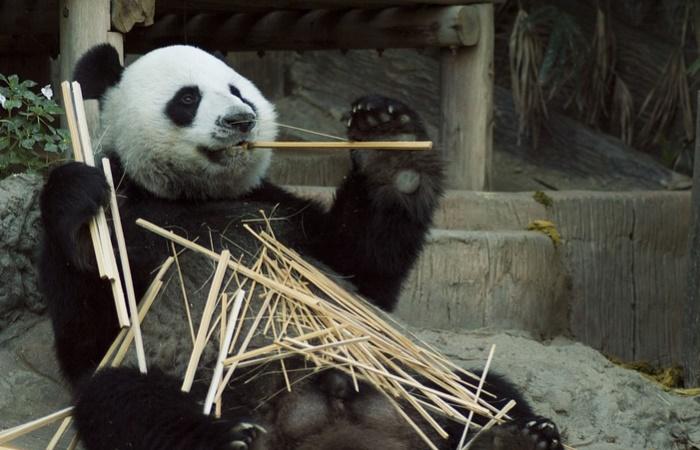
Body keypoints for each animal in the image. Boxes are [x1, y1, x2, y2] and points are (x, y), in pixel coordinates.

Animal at [38, 43, 564, 450]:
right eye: (187, 98)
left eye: (237, 90)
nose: (241, 120)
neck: (193, 195)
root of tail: (313, 423)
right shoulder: (131, 220)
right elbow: (90, 334)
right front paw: (77, 197)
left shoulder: (280, 213)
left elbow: (363, 268)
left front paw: (389, 138)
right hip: (202, 383)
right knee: (125, 401)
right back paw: (231, 439)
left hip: (397, 364)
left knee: (476, 388)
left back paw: (514, 435)